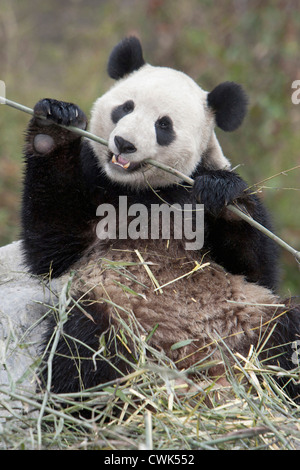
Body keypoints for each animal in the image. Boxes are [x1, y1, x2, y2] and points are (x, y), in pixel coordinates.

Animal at [22, 37, 300, 400]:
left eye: (163, 125)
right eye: (125, 108)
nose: (124, 143)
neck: (144, 191)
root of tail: (199, 370)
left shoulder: (194, 187)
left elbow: (256, 268)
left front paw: (221, 194)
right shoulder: (97, 187)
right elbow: (52, 248)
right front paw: (54, 126)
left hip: (254, 319)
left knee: (287, 335)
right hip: (114, 312)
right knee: (83, 350)